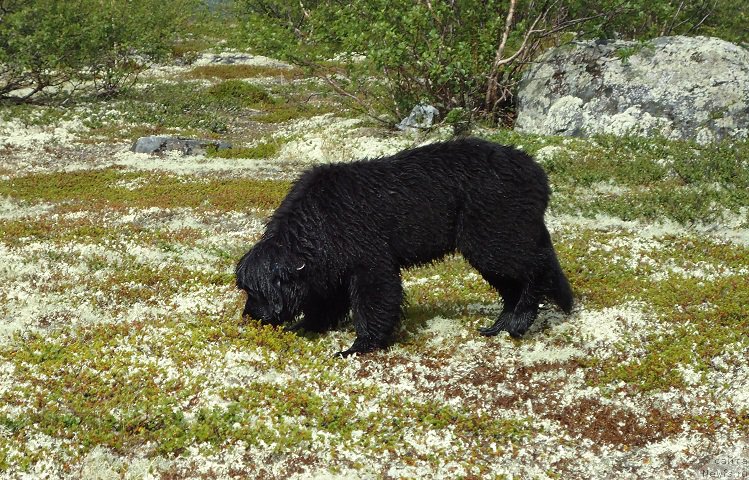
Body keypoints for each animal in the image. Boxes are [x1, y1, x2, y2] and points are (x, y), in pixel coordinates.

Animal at [237, 138, 568, 356]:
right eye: (248, 290)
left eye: (258, 292)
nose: (249, 316)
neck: (318, 221)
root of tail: (537, 172)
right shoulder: (333, 264)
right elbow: (326, 302)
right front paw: (306, 326)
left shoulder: (369, 259)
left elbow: (375, 300)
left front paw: (358, 347)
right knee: (513, 283)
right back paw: (500, 324)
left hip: (494, 233)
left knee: (535, 269)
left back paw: (521, 319)